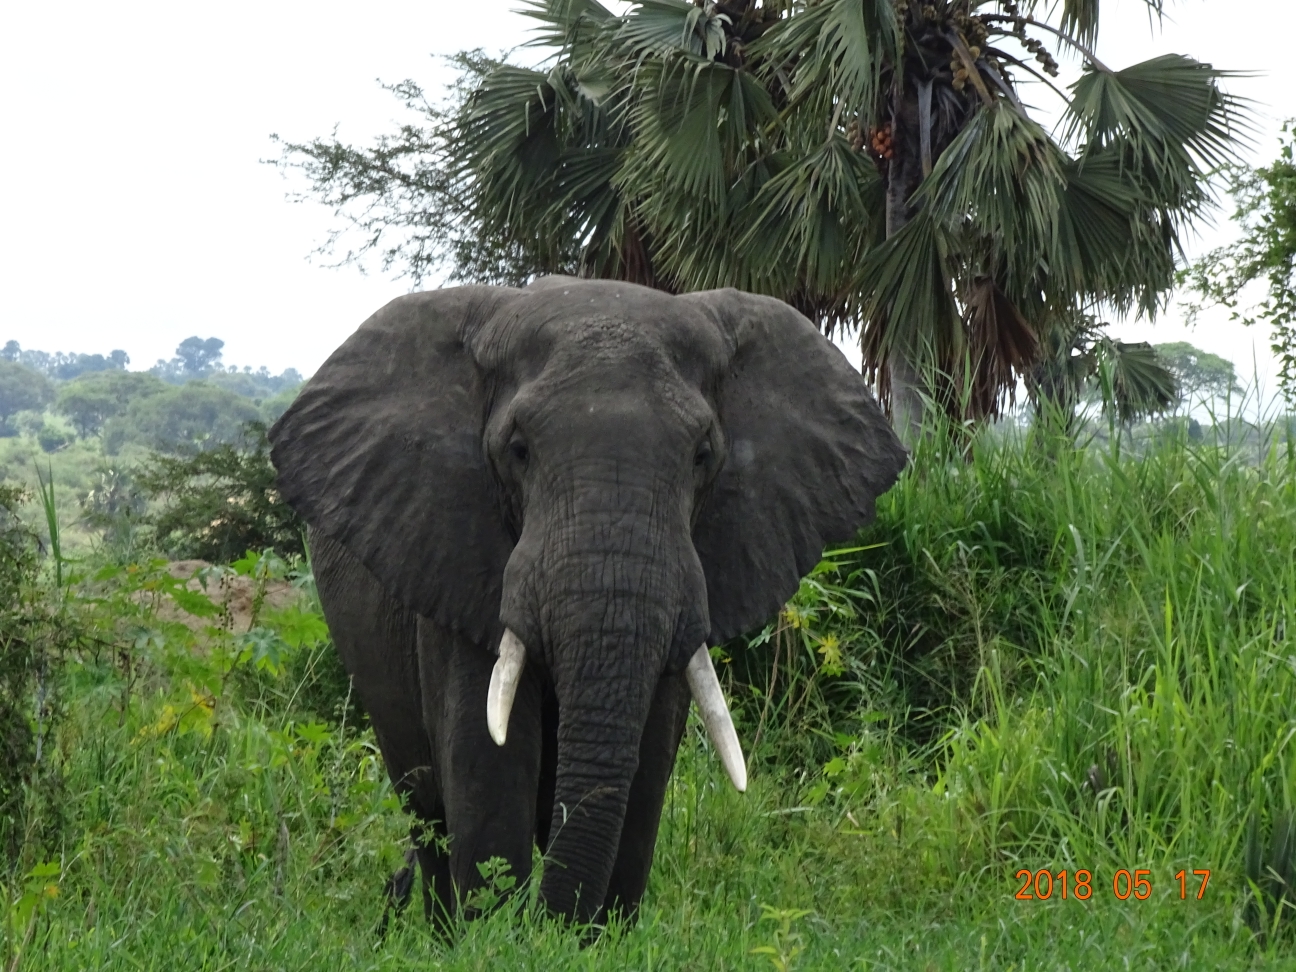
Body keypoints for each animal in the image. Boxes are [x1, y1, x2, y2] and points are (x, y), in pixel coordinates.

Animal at [268, 279, 907, 927]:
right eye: (518, 449)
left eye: (703, 455)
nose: (551, 924)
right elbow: (486, 764)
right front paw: (497, 933)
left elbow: (645, 766)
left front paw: (592, 934)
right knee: (426, 810)